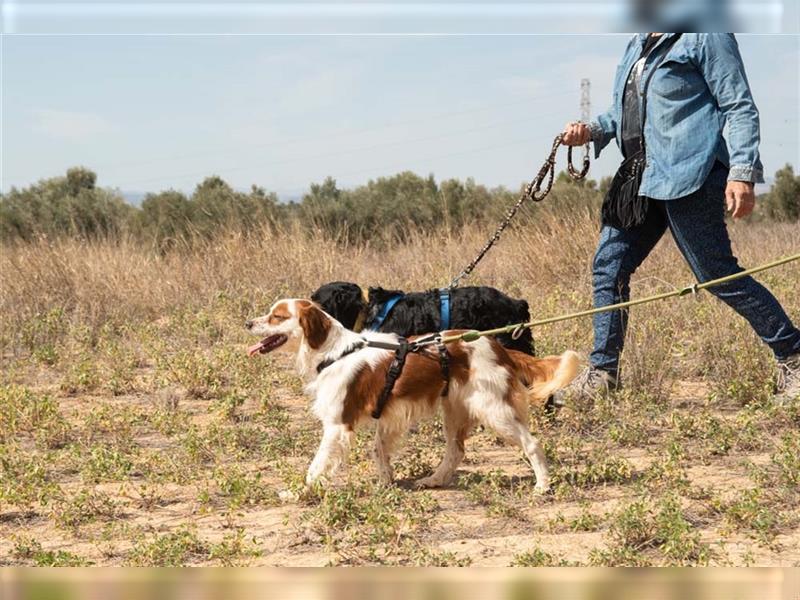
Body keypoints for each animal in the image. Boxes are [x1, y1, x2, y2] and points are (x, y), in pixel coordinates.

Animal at [244, 298, 576, 492]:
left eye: (276, 317)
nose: (247, 322)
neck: (334, 351)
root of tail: (497, 346)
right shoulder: (387, 418)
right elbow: (379, 451)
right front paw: (385, 484)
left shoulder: (337, 425)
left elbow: (316, 466)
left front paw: (301, 491)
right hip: (455, 411)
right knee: (455, 451)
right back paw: (435, 479)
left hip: (495, 409)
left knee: (532, 443)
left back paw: (543, 485)